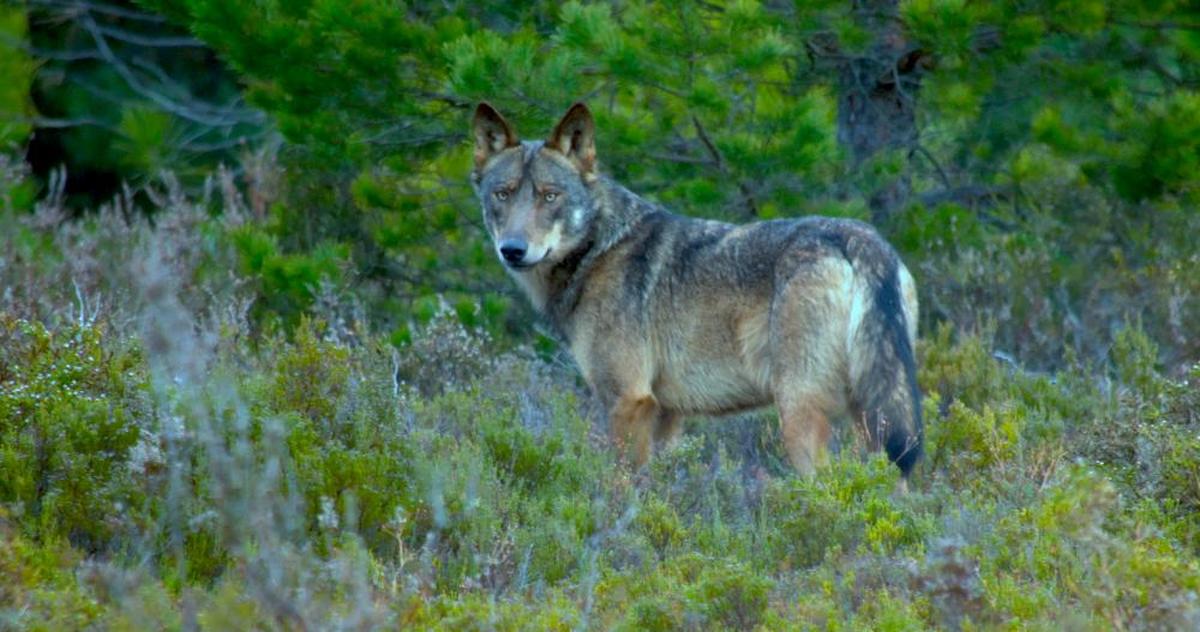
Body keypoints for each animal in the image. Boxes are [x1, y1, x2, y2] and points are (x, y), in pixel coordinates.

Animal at [470, 102, 926, 479]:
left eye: (550, 196)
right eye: (502, 194)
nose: (512, 250)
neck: (599, 249)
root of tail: (859, 238)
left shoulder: (627, 401)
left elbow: (618, 490)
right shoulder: (667, 414)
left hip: (800, 413)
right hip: (872, 419)